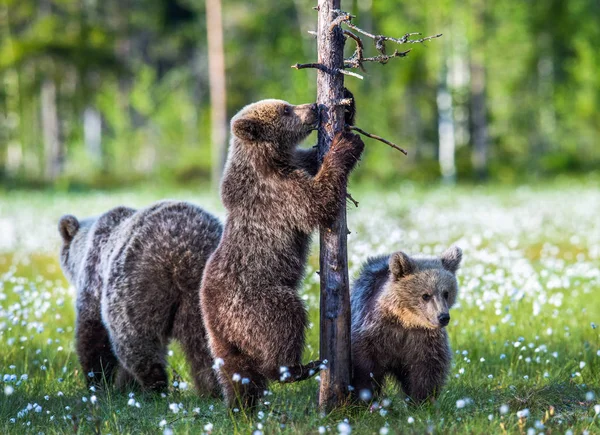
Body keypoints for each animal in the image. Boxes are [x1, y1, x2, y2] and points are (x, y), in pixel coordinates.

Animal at [59, 201, 223, 396]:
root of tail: (184, 252)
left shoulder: (94, 281)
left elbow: (93, 333)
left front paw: (98, 381)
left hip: (136, 285)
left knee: (135, 339)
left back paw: (155, 385)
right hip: (209, 294)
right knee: (206, 345)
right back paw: (214, 388)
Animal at [199, 97, 364, 410]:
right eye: (285, 110)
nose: (313, 107)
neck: (270, 160)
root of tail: (215, 319)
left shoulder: (293, 165)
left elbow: (311, 161)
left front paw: (347, 109)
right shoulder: (279, 193)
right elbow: (317, 202)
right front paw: (344, 144)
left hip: (223, 339)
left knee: (239, 374)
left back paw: (243, 403)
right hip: (254, 301)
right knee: (285, 317)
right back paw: (297, 368)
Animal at [350, 247, 462, 404]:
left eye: (446, 293)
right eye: (425, 295)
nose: (443, 317)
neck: (406, 321)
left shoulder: (423, 339)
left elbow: (427, 368)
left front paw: (421, 400)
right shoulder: (375, 331)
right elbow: (366, 365)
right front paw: (364, 397)